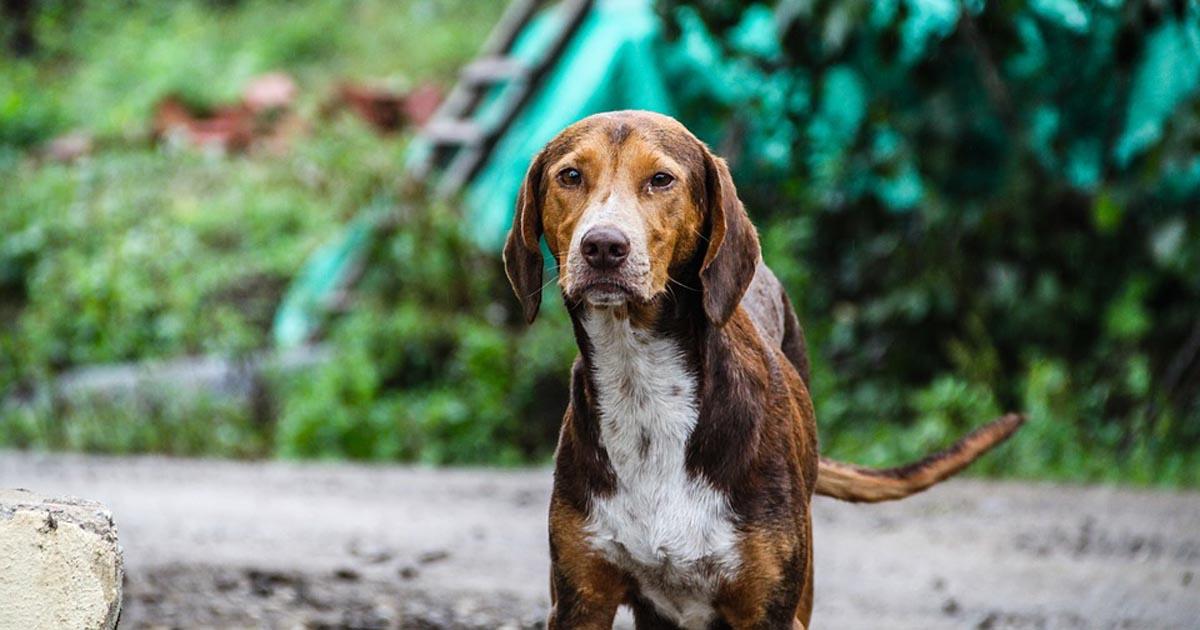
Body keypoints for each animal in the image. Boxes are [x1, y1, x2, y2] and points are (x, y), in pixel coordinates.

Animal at [504, 111, 1022, 628]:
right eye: (571, 176)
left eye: (661, 179)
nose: (603, 246)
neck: (642, 383)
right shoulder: (580, 600)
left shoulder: (769, 609)